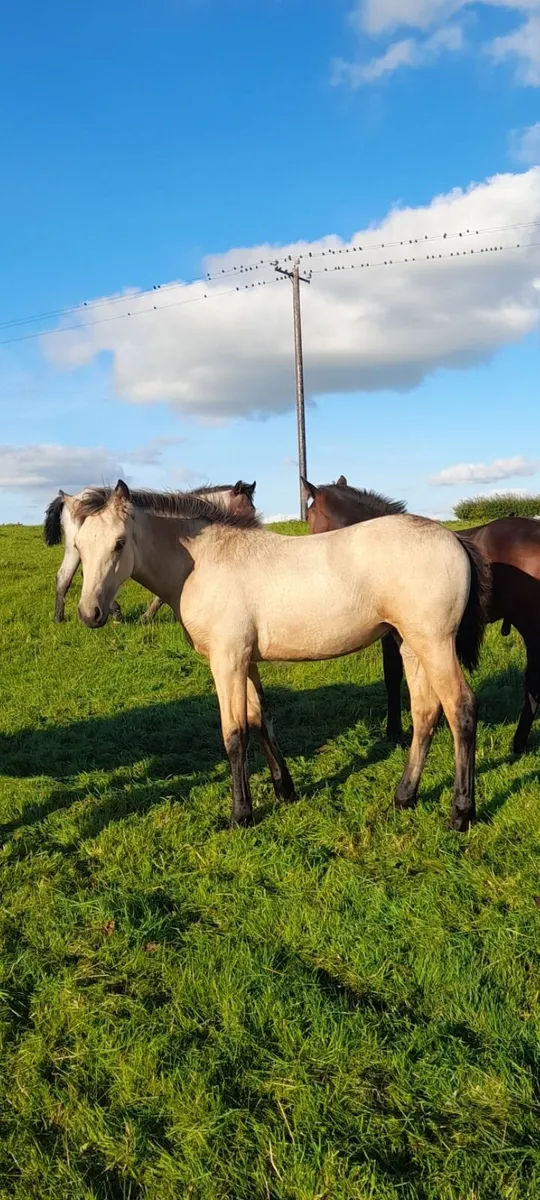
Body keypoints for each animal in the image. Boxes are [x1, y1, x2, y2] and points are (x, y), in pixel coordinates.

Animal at [43, 480, 256, 623]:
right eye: (248, 508)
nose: (256, 526)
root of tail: (70, 498)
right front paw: (146, 617)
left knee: (64, 577)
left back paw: (60, 618)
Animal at [71, 481, 490, 832]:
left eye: (119, 543)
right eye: (78, 547)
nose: (90, 614)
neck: (205, 562)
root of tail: (453, 537)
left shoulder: (227, 661)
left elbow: (234, 734)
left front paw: (241, 814)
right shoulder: (246, 661)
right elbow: (260, 720)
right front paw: (284, 789)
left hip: (435, 644)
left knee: (461, 709)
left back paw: (460, 814)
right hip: (410, 645)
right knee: (425, 712)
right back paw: (404, 797)